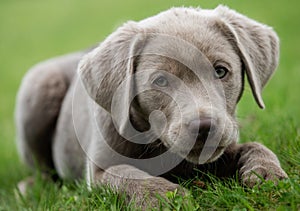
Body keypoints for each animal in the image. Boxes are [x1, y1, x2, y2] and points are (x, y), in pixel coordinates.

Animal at [15, 5, 288, 207]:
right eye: (161, 81)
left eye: (221, 71)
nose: (205, 127)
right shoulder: (98, 172)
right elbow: (124, 174)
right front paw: (165, 197)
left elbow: (254, 146)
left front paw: (266, 172)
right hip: (39, 84)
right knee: (40, 168)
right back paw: (29, 187)